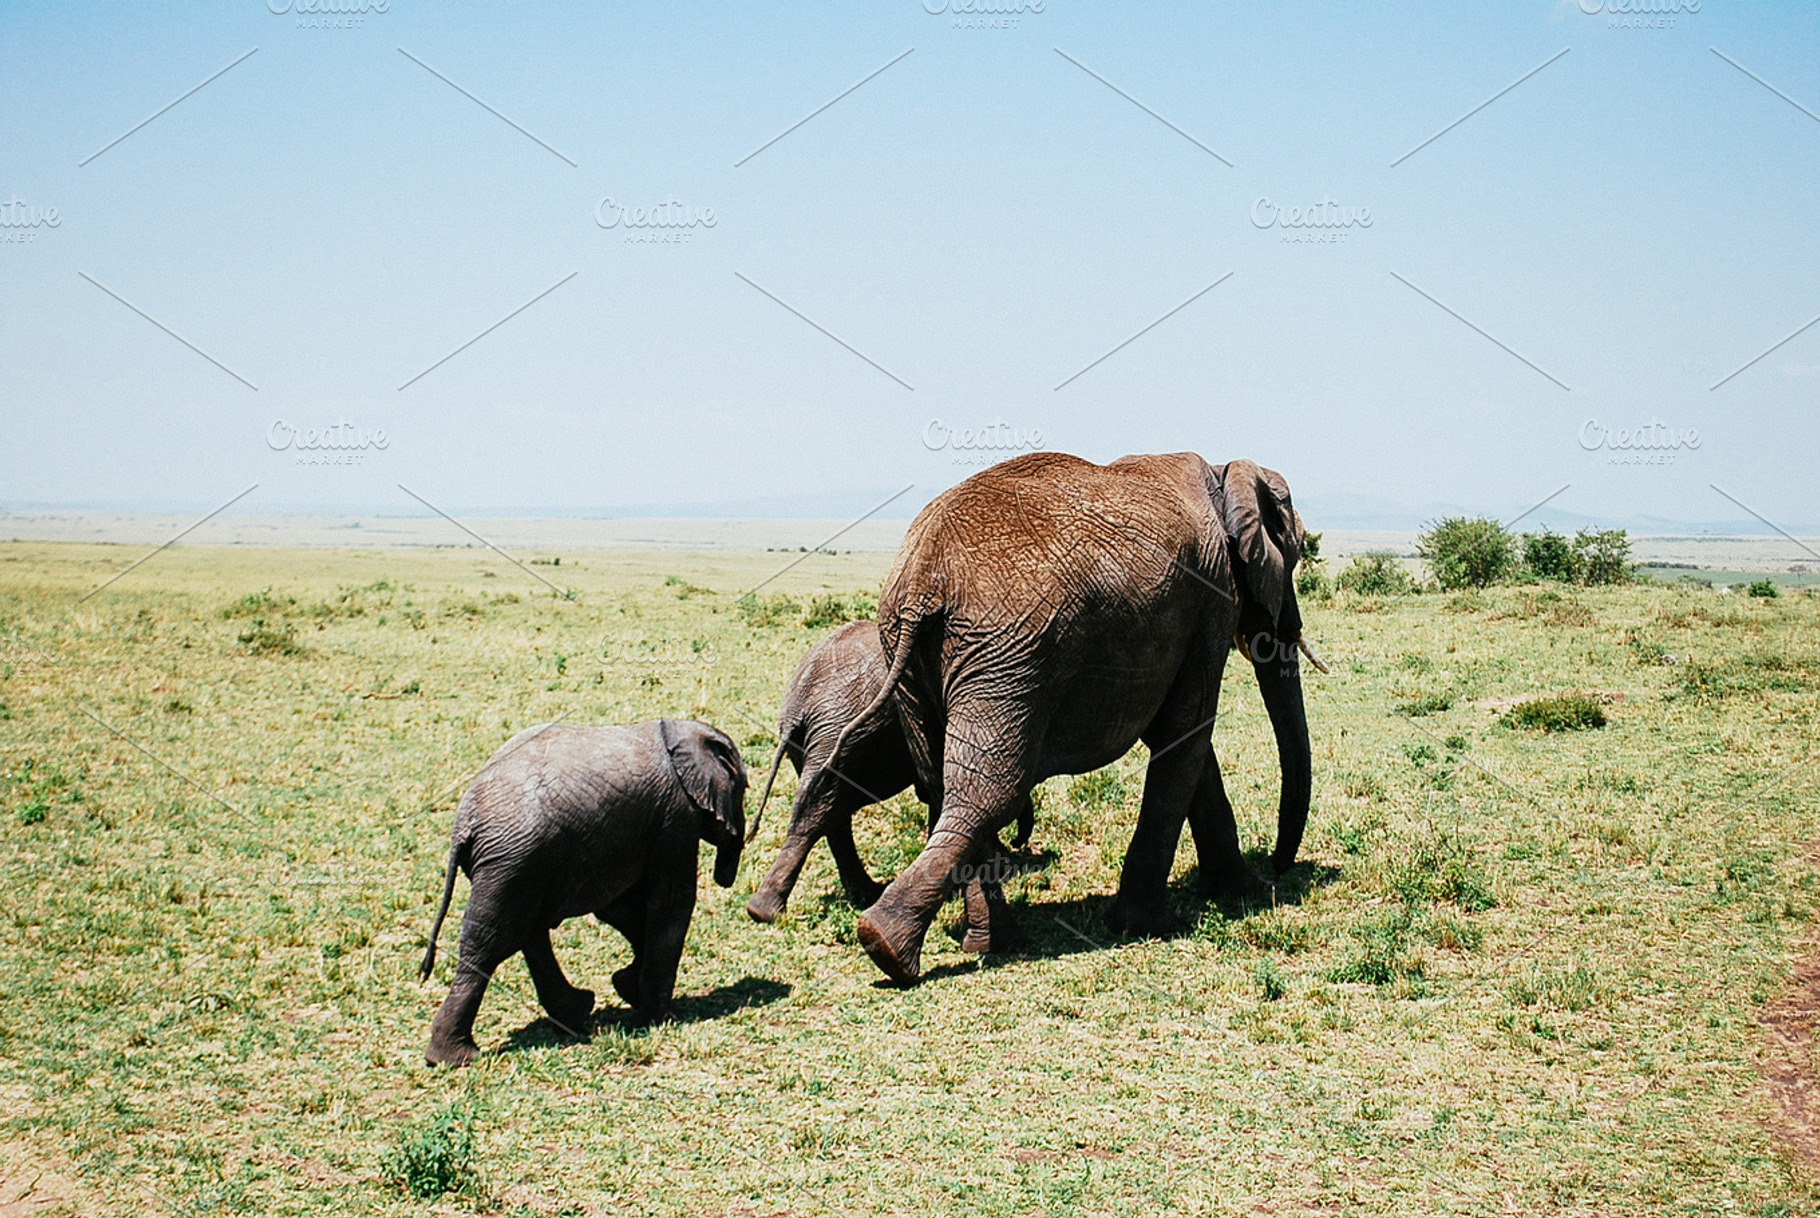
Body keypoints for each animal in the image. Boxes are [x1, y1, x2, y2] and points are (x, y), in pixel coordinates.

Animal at [419, 719, 746, 1066]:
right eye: (743, 790)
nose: (726, 874)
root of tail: (464, 824)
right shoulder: (676, 815)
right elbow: (670, 903)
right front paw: (657, 1017)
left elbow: (618, 908)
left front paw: (627, 988)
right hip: (512, 861)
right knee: (493, 943)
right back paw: (457, 1057)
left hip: (519, 865)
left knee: (526, 934)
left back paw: (573, 1015)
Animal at [744, 620, 1031, 952]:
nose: (1019, 843)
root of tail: (798, 707)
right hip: (844, 740)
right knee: (824, 813)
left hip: (823, 745)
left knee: (825, 813)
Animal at [812, 452, 1315, 985]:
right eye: (1295, 553)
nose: (1280, 866)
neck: (1224, 472)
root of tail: (921, 583)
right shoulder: (1213, 596)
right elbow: (1187, 732)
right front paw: (1147, 925)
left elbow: (1180, 740)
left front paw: (1242, 892)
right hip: (1007, 658)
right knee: (989, 794)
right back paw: (893, 946)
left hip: (921, 662)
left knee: (943, 786)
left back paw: (979, 942)